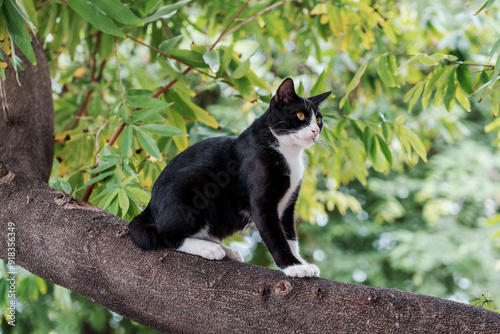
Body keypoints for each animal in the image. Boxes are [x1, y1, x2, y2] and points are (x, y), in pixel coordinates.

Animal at [130, 77, 332, 276]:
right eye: (300, 116)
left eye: (318, 119)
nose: (315, 130)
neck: (289, 153)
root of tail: (150, 205)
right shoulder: (262, 203)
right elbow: (276, 237)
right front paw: (293, 266)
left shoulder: (288, 203)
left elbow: (290, 236)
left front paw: (300, 262)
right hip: (191, 188)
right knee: (163, 235)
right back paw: (210, 249)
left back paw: (225, 249)